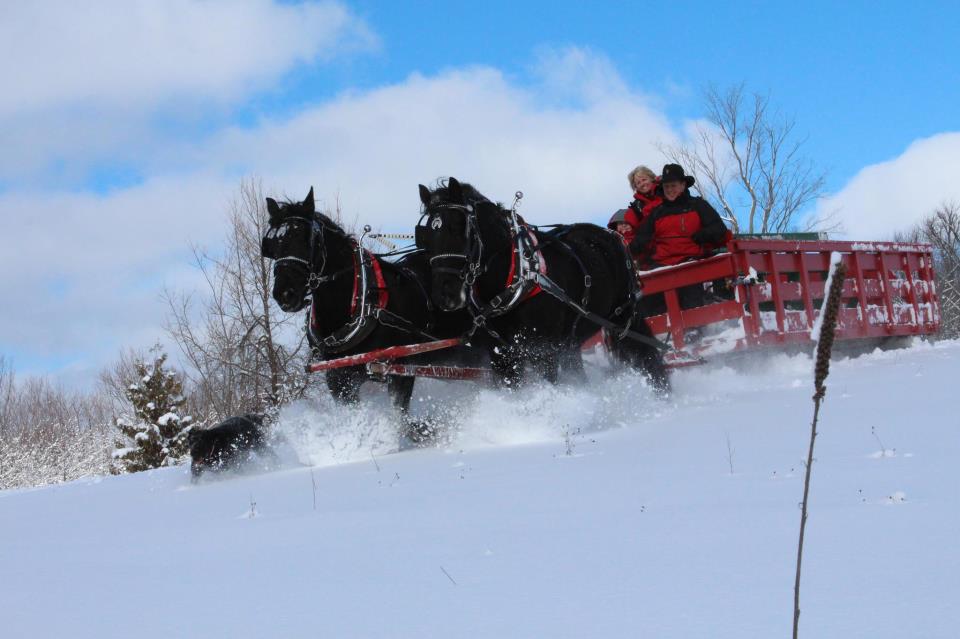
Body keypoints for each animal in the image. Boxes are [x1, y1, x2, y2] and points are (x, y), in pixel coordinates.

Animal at [416, 178, 672, 392]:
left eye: (458, 228)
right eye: (425, 236)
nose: (444, 295)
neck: (516, 274)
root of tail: (611, 234)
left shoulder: (542, 351)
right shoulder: (502, 356)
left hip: (623, 317)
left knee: (646, 354)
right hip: (573, 338)